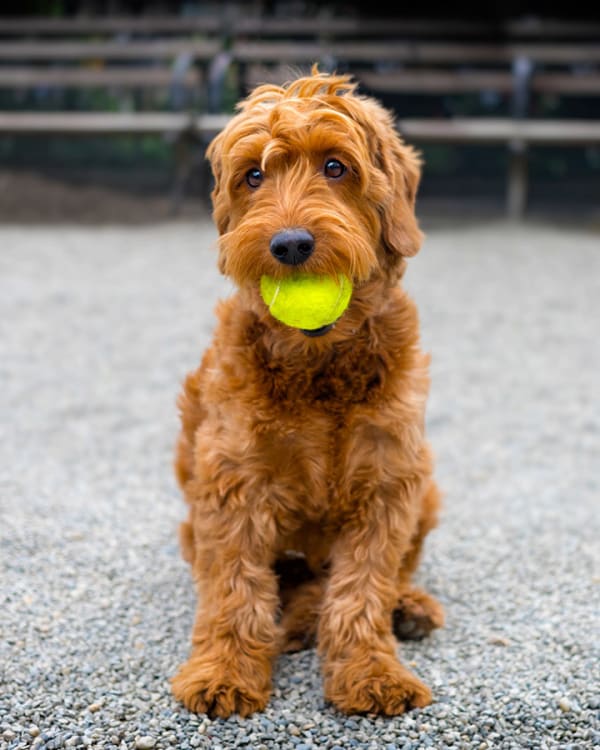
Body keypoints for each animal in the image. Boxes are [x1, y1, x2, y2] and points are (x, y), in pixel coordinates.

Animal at [171, 70, 442, 724]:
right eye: (253, 175)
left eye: (337, 166)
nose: (290, 244)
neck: (319, 367)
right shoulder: (230, 483)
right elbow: (233, 586)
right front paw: (224, 672)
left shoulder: (389, 483)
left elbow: (363, 589)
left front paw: (371, 671)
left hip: (427, 487)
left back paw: (404, 607)